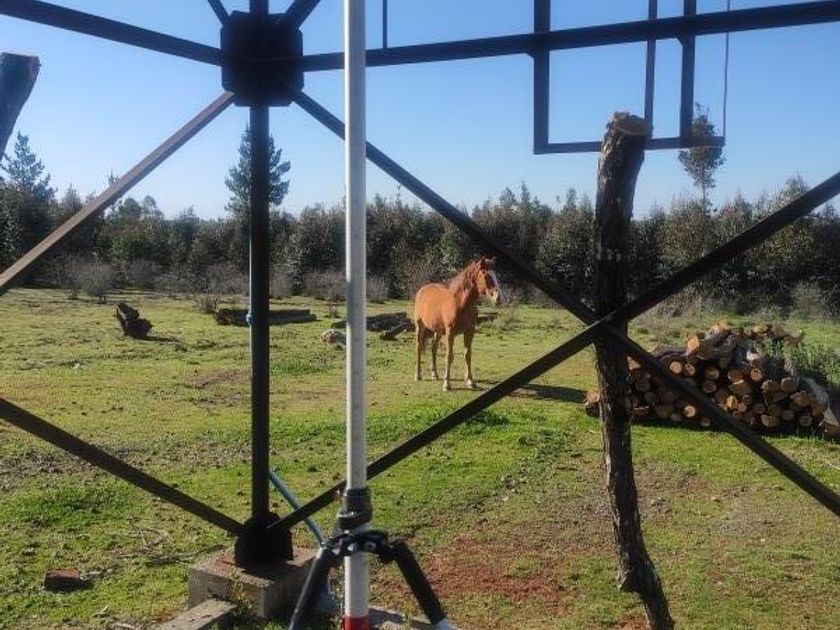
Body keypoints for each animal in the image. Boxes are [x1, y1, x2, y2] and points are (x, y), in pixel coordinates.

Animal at [413, 257, 503, 391]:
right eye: (486, 275)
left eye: (495, 275)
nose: (498, 298)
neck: (459, 303)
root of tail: (422, 289)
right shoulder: (450, 333)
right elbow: (449, 356)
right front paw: (447, 384)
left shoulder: (470, 332)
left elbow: (467, 355)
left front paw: (470, 381)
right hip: (420, 326)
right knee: (418, 347)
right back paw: (418, 375)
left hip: (438, 331)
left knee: (433, 348)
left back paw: (434, 374)